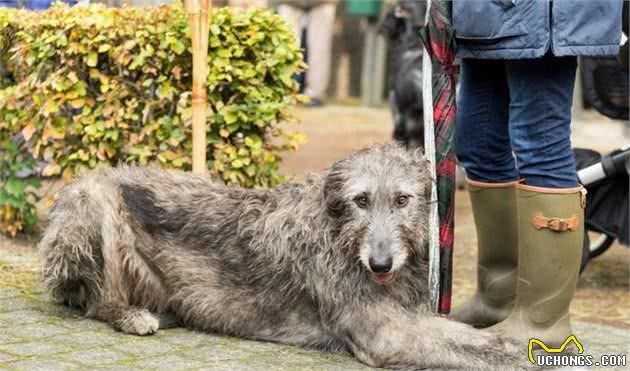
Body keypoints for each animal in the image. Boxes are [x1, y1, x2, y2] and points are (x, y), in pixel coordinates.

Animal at [39, 144, 528, 370]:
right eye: (361, 200)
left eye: (403, 200)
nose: (380, 265)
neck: (340, 237)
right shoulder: (385, 332)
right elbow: (469, 351)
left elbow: (474, 339)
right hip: (95, 199)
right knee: (97, 302)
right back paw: (131, 315)